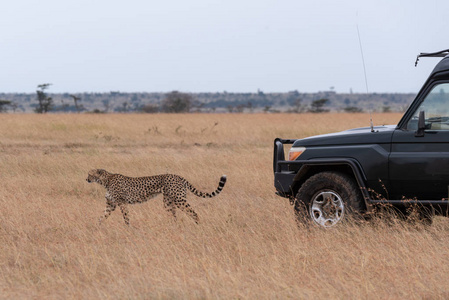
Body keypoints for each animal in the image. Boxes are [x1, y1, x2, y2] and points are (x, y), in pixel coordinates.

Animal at [86, 169, 226, 225]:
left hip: (179, 200)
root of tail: (178, 176)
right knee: (174, 216)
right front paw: (97, 226)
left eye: (90, 174)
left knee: (193, 213)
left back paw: (198, 225)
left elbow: (126, 217)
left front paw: (128, 228)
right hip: (168, 202)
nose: (86, 179)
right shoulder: (111, 205)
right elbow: (102, 217)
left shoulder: (121, 203)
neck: (106, 180)